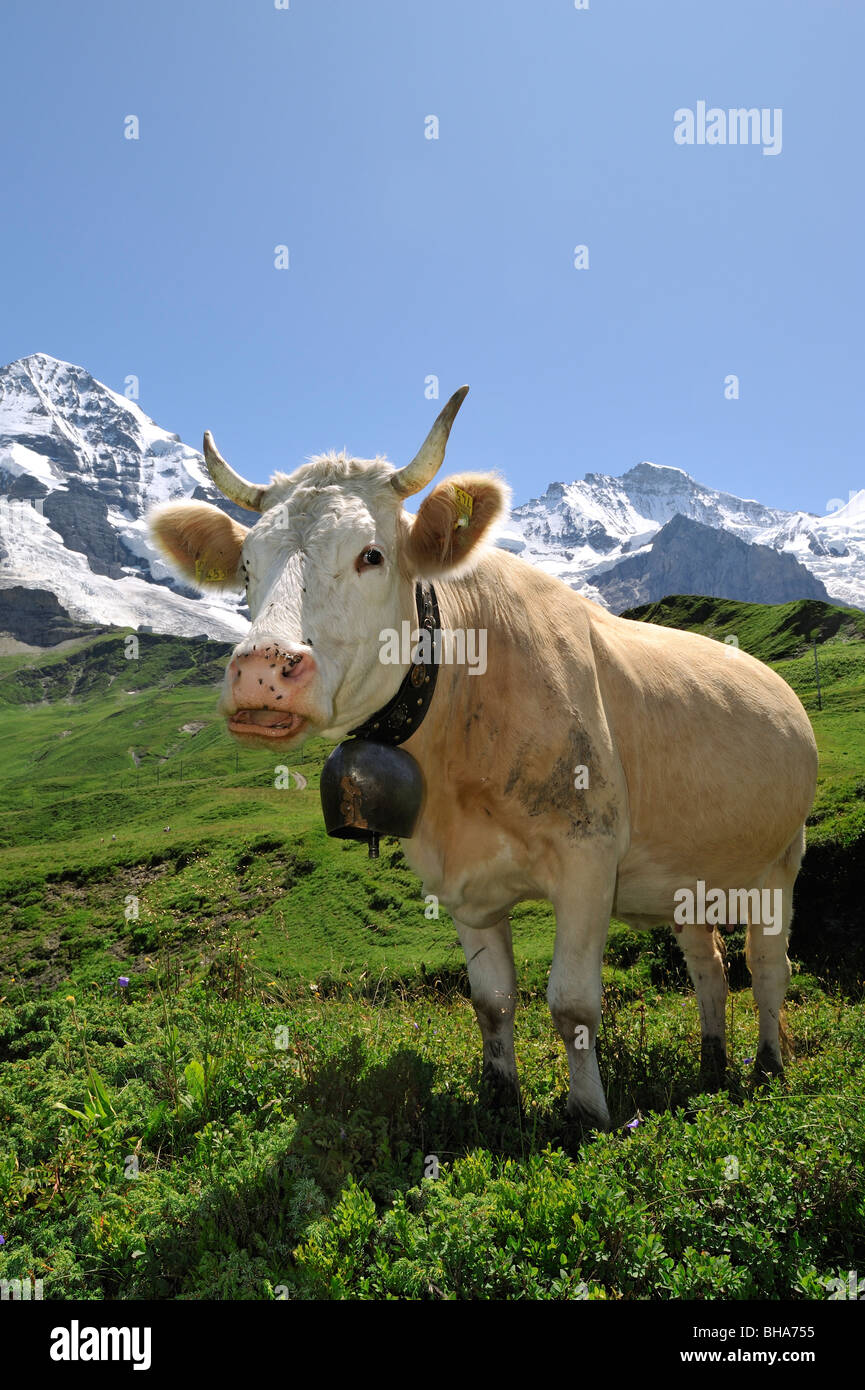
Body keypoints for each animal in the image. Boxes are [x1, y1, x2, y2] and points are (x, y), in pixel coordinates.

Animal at [152, 391, 823, 1128]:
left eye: (370, 555)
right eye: (247, 567)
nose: (260, 672)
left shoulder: (588, 857)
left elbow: (571, 1002)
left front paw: (588, 1117)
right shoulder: (460, 886)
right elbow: (491, 1002)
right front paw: (502, 1104)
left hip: (778, 861)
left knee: (767, 966)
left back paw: (766, 1065)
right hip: (686, 877)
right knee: (708, 966)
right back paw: (711, 1064)